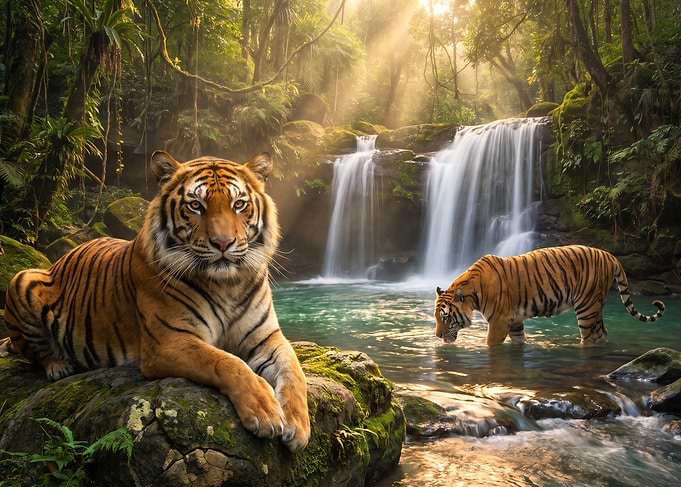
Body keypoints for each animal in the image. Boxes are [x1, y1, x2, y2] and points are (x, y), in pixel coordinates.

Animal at [0, 150, 310, 451]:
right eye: (196, 206)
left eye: (239, 204)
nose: (223, 243)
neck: (227, 285)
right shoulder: (168, 341)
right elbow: (225, 362)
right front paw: (264, 410)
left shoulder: (266, 337)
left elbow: (293, 372)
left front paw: (297, 425)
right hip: (22, 279)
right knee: (34, 351)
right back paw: (59, 366)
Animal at [434, 245, 665, 346]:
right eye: (436, 318)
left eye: (445, 317)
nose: (436, 335)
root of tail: (610, 255)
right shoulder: (514, 321)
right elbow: (519, 341)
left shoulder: (499, 321)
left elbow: (491, 345)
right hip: (596, 306)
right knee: (602, 334)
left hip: (587, 308)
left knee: (590, 337)